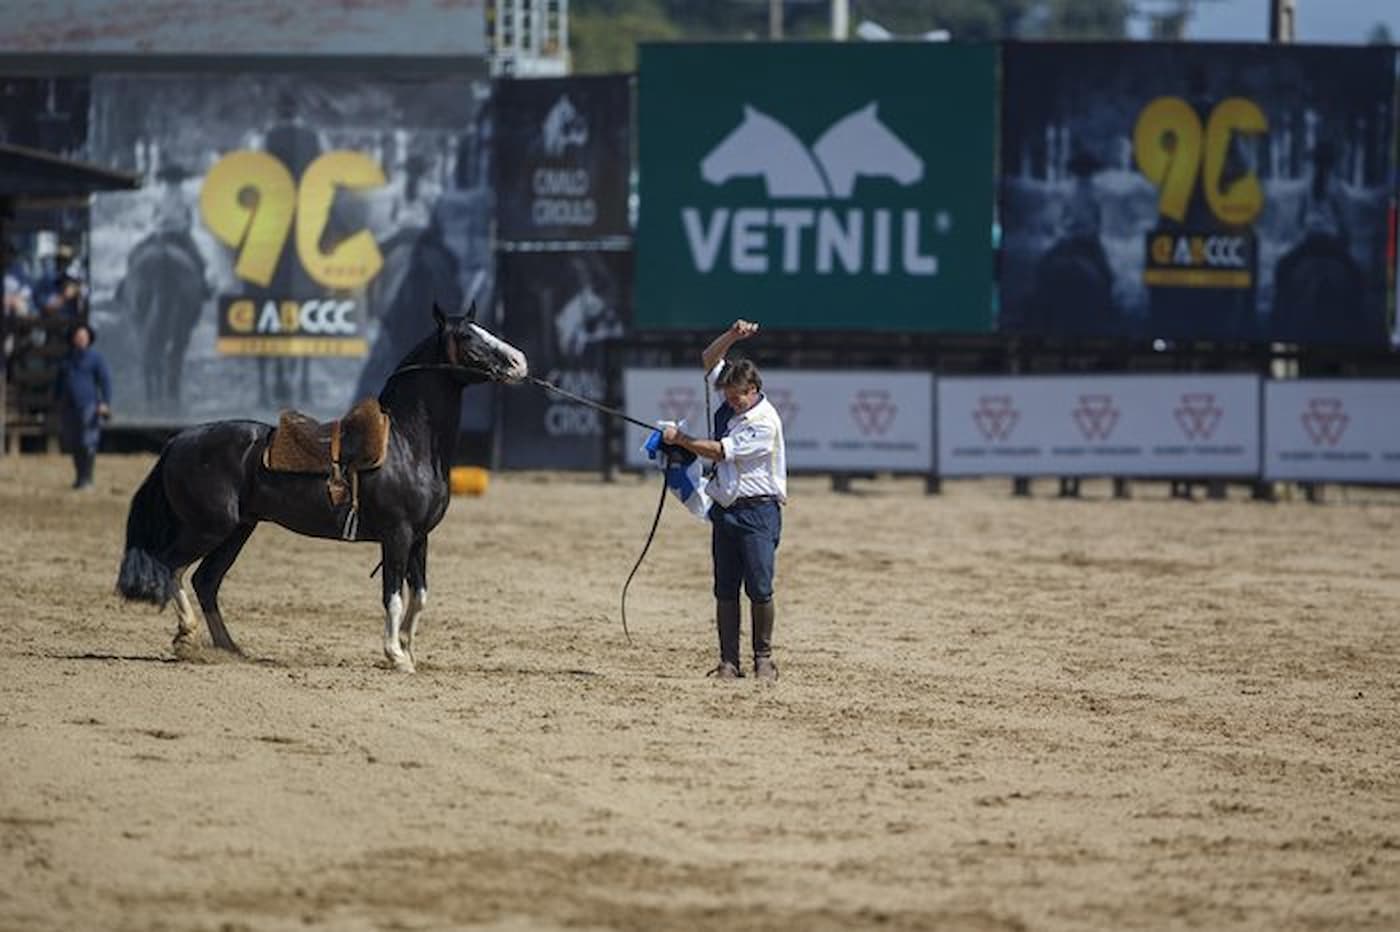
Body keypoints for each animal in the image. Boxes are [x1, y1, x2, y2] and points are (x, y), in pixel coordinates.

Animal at [114, 300, 526, 671]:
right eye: (467, 337)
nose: (519, 361)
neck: (407, 445)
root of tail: (176, 442)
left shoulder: (419, 538)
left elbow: (420, 595)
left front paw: (408, 651)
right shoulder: (397, 535)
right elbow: (393, 596)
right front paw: (395, 655)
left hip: (236, 530)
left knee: (205, 580)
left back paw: (229, 648)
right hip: (209, 528)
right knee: (169, 567)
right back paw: (187, 635)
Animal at [120, 233, 208, 405]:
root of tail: (163, 258)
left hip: (147, 324)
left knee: (152, 358)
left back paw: (154, 397)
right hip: (174, 328)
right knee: (166, 358)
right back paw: (163, 396)